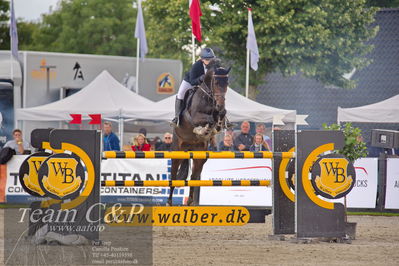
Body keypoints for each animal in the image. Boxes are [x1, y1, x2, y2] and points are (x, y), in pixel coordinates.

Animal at [169, 60, 231, 206]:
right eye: (216, 83)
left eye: (227, 83)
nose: (220, 105)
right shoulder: (195, 117)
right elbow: (208, 120)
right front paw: (203, 129)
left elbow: (219, 117)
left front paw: (214, 129)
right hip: (177, 151)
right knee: (173, 175)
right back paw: (169, 202)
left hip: (200, 156)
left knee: (194, 177)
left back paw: (190, 201)